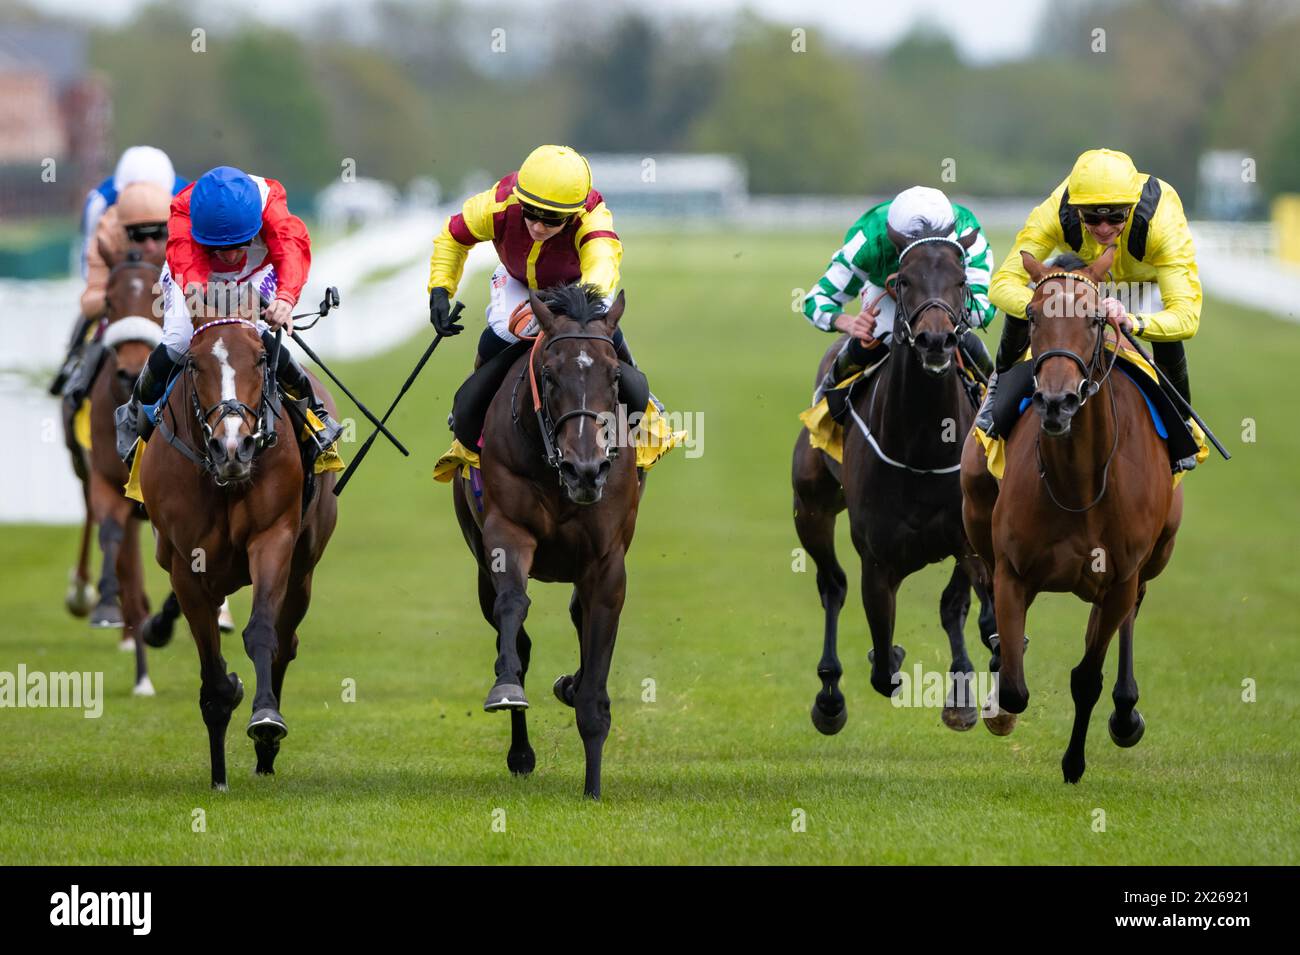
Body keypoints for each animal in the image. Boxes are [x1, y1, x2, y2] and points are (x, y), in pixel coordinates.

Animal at [139, 317, 338, 789]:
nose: (233, 446)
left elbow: (262, 632)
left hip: (302, 571)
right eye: (194, 364)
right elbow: (212, 674)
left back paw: (266, 752)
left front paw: (265, 719)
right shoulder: (185, 565)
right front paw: (218, 769)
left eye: (263, 358)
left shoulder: (273, 538)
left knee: (285, 640)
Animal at [452, 283, 644, 800]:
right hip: (478, 558)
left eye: (615, 374)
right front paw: (506, 688)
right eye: (550, 375)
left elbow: (596, 661)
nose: (586, 469)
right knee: (516, 636)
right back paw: (520, 750)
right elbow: (513, 609)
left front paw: (593, 787)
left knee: (578, 616)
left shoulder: (607, 561)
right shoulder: (506, 532)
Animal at [790, 227, 993, 738]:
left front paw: (964, 693)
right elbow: (883, 664)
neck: (923, 446)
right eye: (903, 280)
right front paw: (890, 658)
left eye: (962, 280)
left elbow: (959, 605)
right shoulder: (878, 562)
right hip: (811, 508)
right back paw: (829, 696)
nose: (936, 339)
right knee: (832, 584)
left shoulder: (966, 536)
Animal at [961, 246, 1185, 784]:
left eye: (1094, 318)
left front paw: (1075, 760)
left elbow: (1087, 676)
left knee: (1130, 615)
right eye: (1033, 315)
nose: (1057, 401)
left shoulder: (1120, 576)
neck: (1078, 483)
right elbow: (1015, 681)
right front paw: (999, 707)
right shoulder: (1013, 571)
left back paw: (1126, 711)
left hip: (1153, 558)